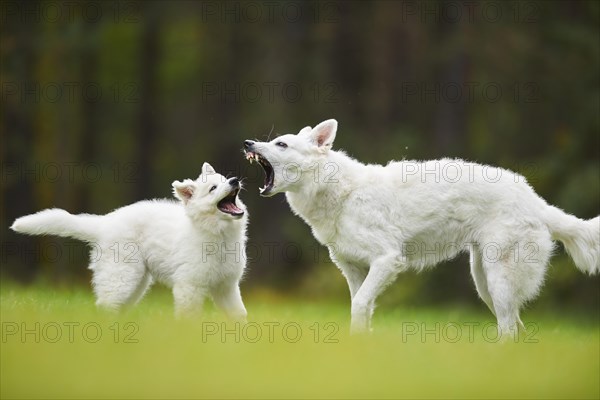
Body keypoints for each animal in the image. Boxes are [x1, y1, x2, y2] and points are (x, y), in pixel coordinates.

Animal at [9, 162, 248, 318]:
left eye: (225, 180)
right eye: (213, 189)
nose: (235, 180)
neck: (217, 234)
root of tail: (104, 224)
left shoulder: (227, 287)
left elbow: (239, 315)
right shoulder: (189, 287)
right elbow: (189, 318)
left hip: (137, 282)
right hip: (121, 276)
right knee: (106, 305)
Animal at [244, 118, 600, 334]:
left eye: (281, 144)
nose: (247, 143)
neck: (341, 193)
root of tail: (537, 202)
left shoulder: (387, 260)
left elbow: (359, 305)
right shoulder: (354, 271)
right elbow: (361, 312)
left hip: (498, 280)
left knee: (510, 329)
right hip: (484, 284)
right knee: (516, 327)